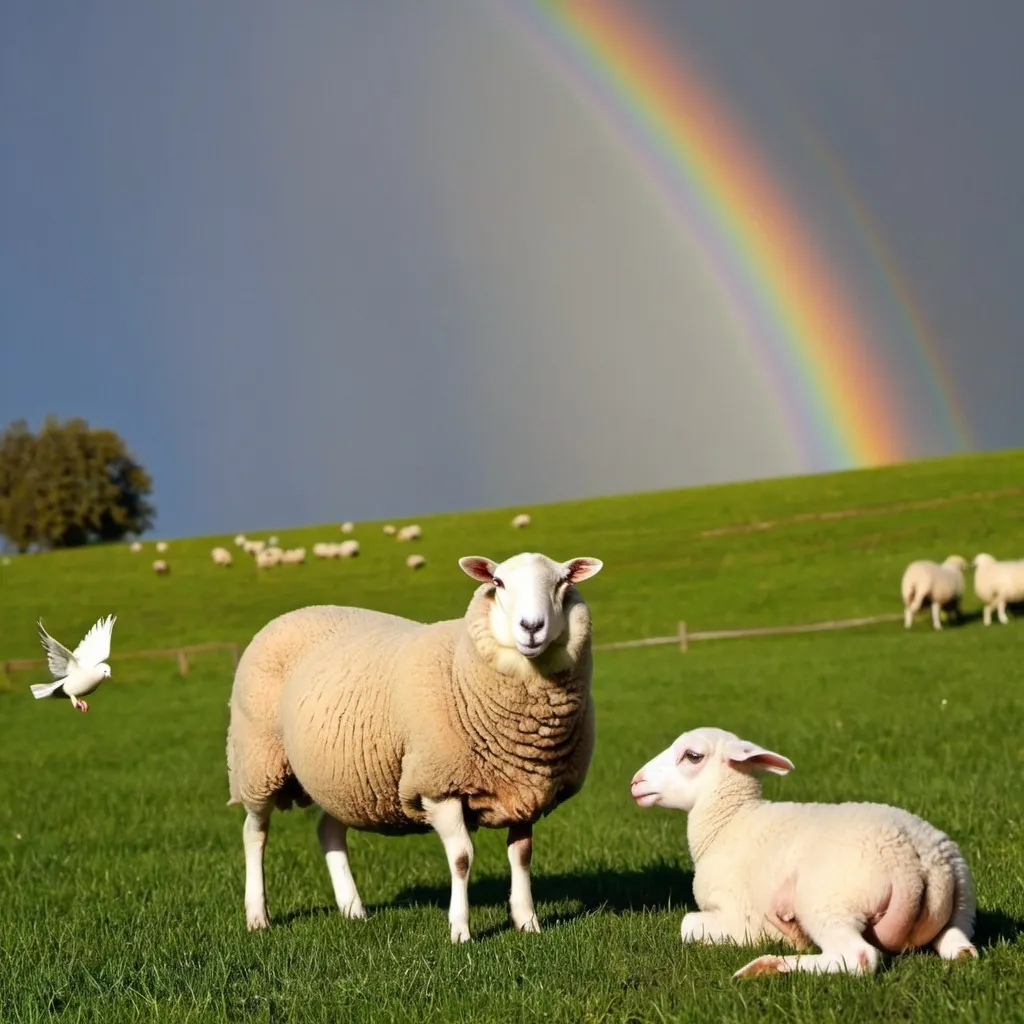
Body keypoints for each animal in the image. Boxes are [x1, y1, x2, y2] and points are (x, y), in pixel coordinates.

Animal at [228, 552, 602, 942]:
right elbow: (462, 858)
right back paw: (257, 916)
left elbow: (522, 855)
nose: (531, 627)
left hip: (340, 778)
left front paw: (528, 922)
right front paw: (460, 931)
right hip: (257, 761)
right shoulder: (437, 784)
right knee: (254, 833)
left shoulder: (524, 789)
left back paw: (352, 909)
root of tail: (291, 614)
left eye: (562, 583)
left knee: (328, 831)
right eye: (498, 583)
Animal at [630, 724, 974, 978]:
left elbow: (687, 925)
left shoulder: (737, 916)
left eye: (692, 755)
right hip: (962, 907)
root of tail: (918, 862)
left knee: (859, 958)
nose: (636, 781)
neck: (730, 822)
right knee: (962, 950)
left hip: (828, 900)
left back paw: (765, 966)